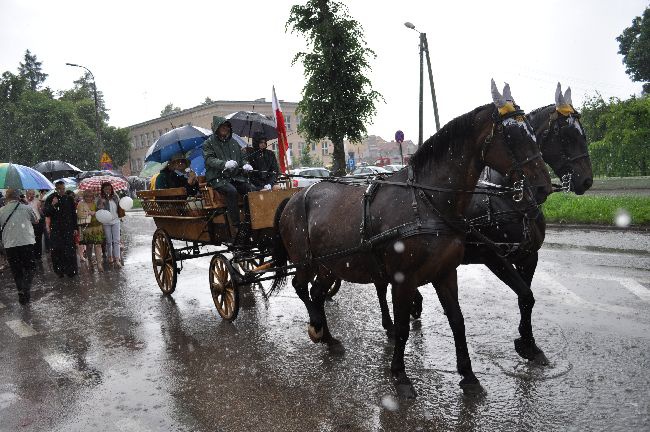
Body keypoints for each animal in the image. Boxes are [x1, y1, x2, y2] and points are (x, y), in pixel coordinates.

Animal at [270, 82, 548, 398]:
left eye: (533, 131)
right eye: (512, 135)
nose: (543, 185)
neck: (428, 201)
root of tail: (294, 196)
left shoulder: (445, 273)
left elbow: (457, 321)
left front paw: (468, 375)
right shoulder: (403, 279)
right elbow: (403, 326)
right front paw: (400, 375)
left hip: (332, 266)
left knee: (317, 293)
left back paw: (329, 339)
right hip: (307, 262)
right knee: (300, 286)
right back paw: (316, 326)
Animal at [374, 83, 592, 364]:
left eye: (582, 133)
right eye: (566, 135)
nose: (586, 180)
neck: (506, 197)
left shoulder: (528, 256)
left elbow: (527, 298)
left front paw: (528, 341)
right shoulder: (494, 256)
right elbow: (525, 294)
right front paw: (526, 343)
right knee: (381, 285)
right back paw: (390, 324)